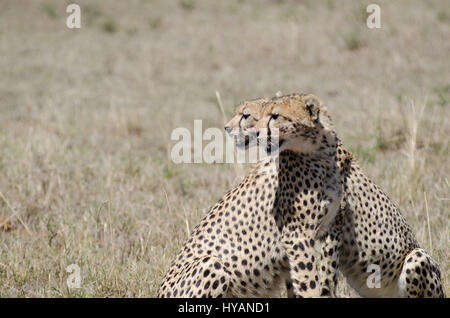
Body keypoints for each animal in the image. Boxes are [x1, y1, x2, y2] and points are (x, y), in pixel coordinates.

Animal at [157, 93, 342, 296]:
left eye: (275, 116)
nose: (227, 128)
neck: (322, 154)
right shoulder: (297, 235)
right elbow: (308, 282)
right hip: (212, 263)